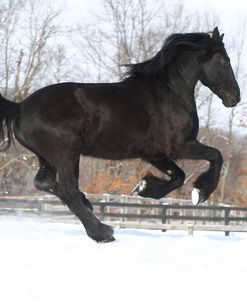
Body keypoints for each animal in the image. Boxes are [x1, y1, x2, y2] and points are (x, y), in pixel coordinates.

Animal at [0, 26, 239, 243]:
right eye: (225, 60)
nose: (235, 97)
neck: (169, 93)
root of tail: (20, 107)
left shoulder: (155, 154)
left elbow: (178, 177)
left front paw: (144, 187)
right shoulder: (180, 146)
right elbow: (216, 156)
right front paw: (200, 193)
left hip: (47, 158)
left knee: (45, 183)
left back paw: (89, 205)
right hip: (66, 155)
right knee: (68, 190)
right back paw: (102, 232)